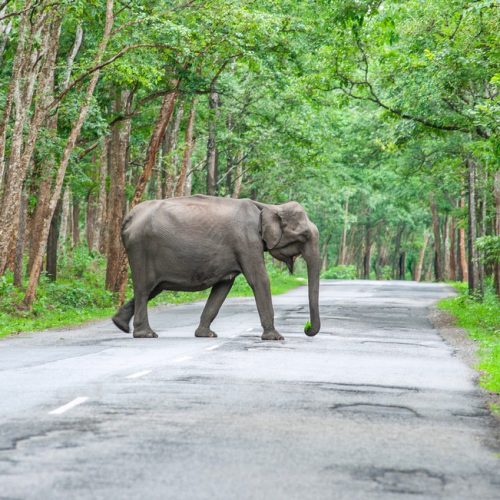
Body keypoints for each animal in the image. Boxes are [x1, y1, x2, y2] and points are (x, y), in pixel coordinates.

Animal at [111, 194, 320, 340]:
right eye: (304, 235)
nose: (306, 328)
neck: (267, 206)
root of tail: (128, 218)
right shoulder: (246, 242)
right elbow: (259, 279)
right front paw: (276, 337)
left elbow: (223, 286)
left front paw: (206, 335)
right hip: (141, 249)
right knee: (144, 289)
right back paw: (146, 334)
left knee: (153, 288)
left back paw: (120, 324)